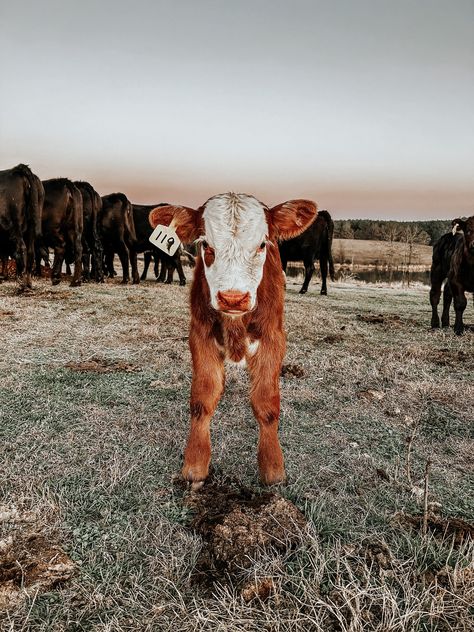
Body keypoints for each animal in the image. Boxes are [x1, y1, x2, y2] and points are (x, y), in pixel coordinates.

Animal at [148, 193, 318, 484]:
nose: (233, 298)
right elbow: (202, 398)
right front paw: (195, 464)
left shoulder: (273, 338)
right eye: (205, 244)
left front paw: (273, 467)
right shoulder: (200, 334)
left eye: (262, 244)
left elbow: (266, 403)